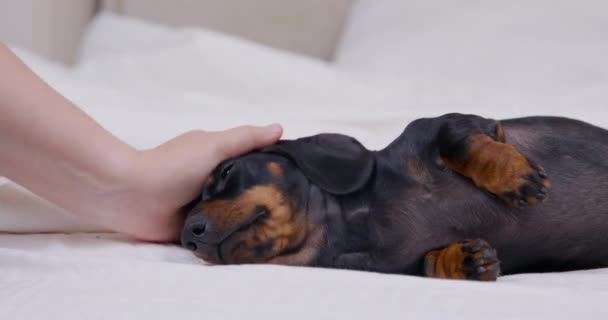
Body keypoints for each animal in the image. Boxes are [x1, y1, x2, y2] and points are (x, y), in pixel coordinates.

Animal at [179, 114, 608, 282]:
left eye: (227, 172)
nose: (188, 234)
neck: (357, 223)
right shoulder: (404, 266)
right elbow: (430, 263)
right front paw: (467, 261)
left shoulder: (454, 124)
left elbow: (461, 140)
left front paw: (515, 177)